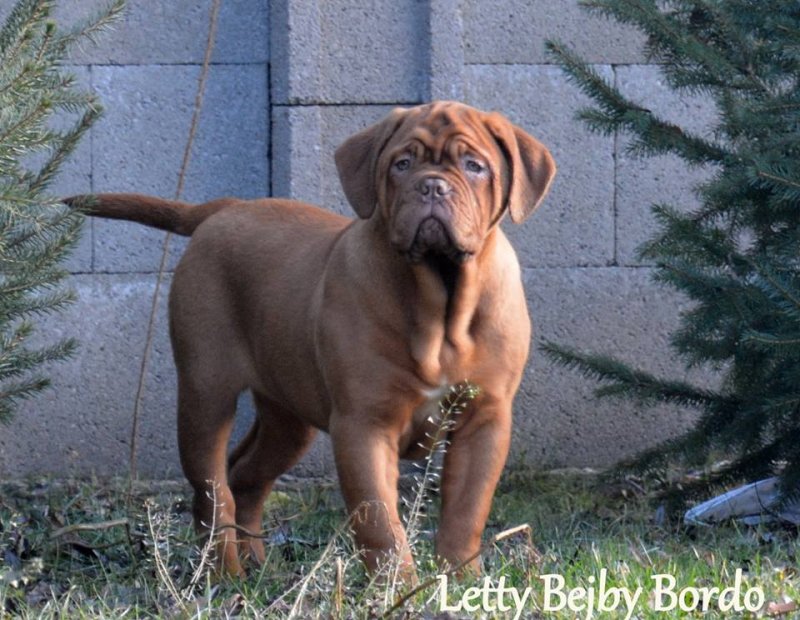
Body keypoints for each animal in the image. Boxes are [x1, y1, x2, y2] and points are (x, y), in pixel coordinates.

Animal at [69, 101, 552, 580]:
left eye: (474, 166)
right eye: (402, 164)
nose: (432, 187)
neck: (441, 301)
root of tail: (225, 208)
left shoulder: (484, 420)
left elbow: (466, 512)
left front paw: (461, 581)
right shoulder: (364, 423)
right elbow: (380, 523)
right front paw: (396, 587)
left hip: (288, 415)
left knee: (245, 476)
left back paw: (256, 566)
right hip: (205, 392)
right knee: (213, 490)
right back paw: (224, 575)